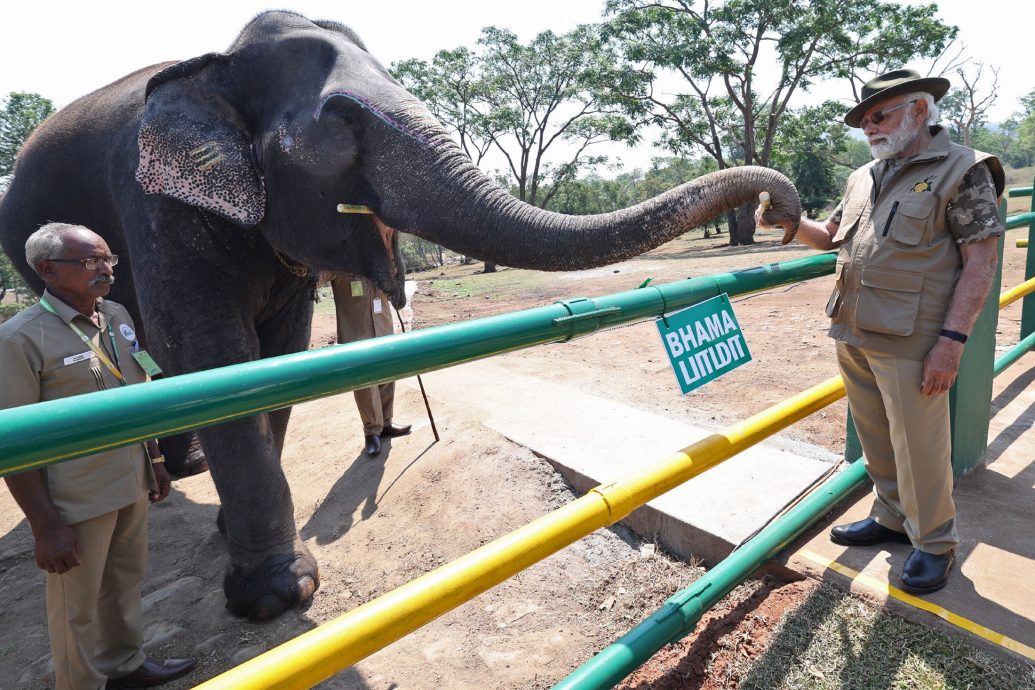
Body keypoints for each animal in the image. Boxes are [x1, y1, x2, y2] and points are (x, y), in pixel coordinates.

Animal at [0, 11, 801, 620]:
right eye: (341, 119)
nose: (781, 208)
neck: (216, 65)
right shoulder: (154, 205)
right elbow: (207, 350)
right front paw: (276, 596)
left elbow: (277, 352)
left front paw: (241, 544)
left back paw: (187, 471)